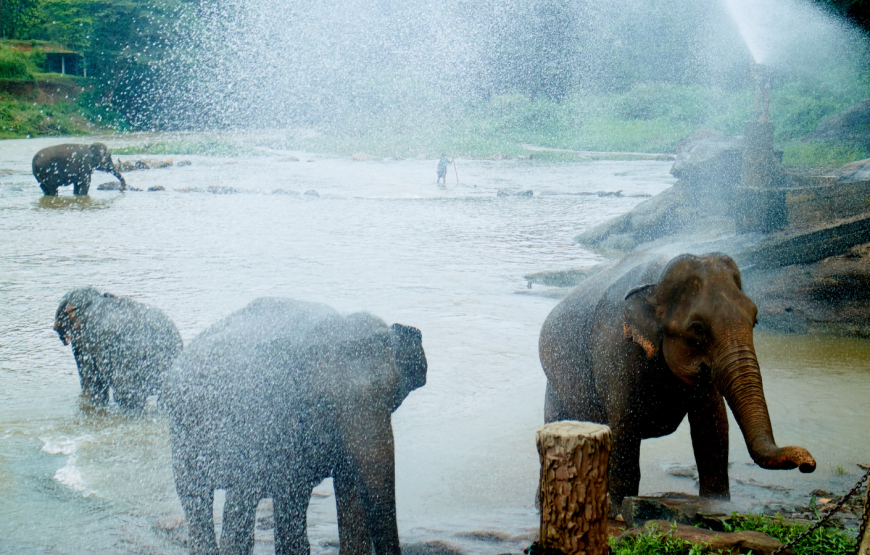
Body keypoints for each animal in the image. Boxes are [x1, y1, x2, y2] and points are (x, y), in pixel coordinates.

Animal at [164, 300, 430, 555]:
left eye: (392, 396)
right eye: (323, 403)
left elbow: (350, 494)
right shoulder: (264, 423)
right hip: (185, 436)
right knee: (204, 498)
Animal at [540, 252, 820, 512]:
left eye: (755, 320)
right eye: (698, 328)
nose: (808, 464)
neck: (657, 282)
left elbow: (713, 422)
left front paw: (717, 505)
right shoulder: (615, 350)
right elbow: (624, 424)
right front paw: (619, 512)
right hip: (555, 389)